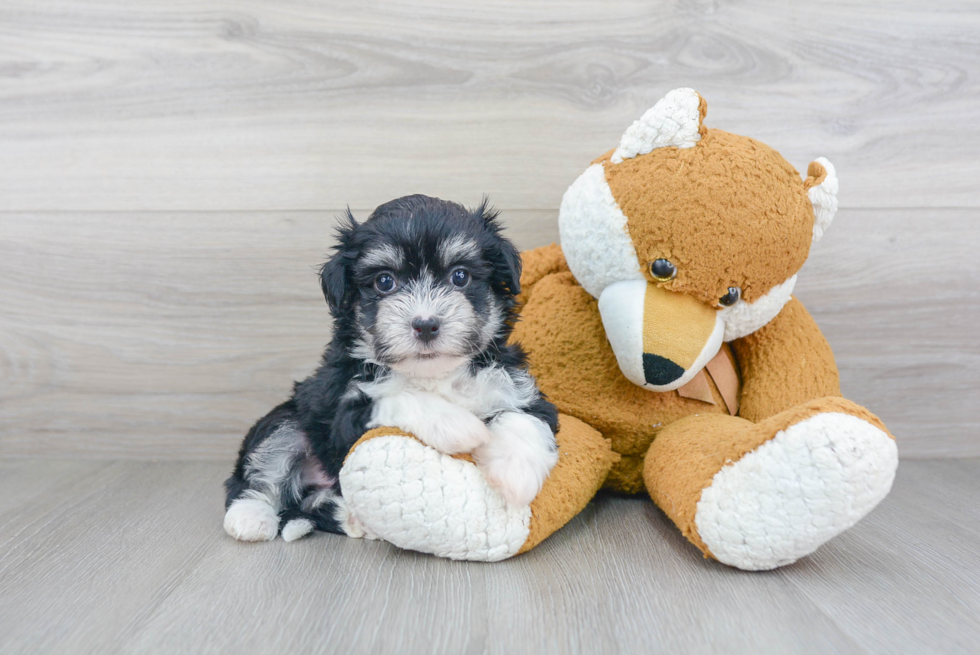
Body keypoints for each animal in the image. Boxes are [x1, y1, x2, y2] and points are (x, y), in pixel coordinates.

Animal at [224, 193, 560, 544]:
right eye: (385, 281)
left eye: (460, 276)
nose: (425, 325)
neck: (433, 374)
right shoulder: (343, 412)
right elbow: (400, 398)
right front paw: (457, 425)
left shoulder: (515, 383)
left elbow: (522, 417)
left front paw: (516, 473)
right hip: (291, 419)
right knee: (262, 465)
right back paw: (250, 517)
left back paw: (352, 519)